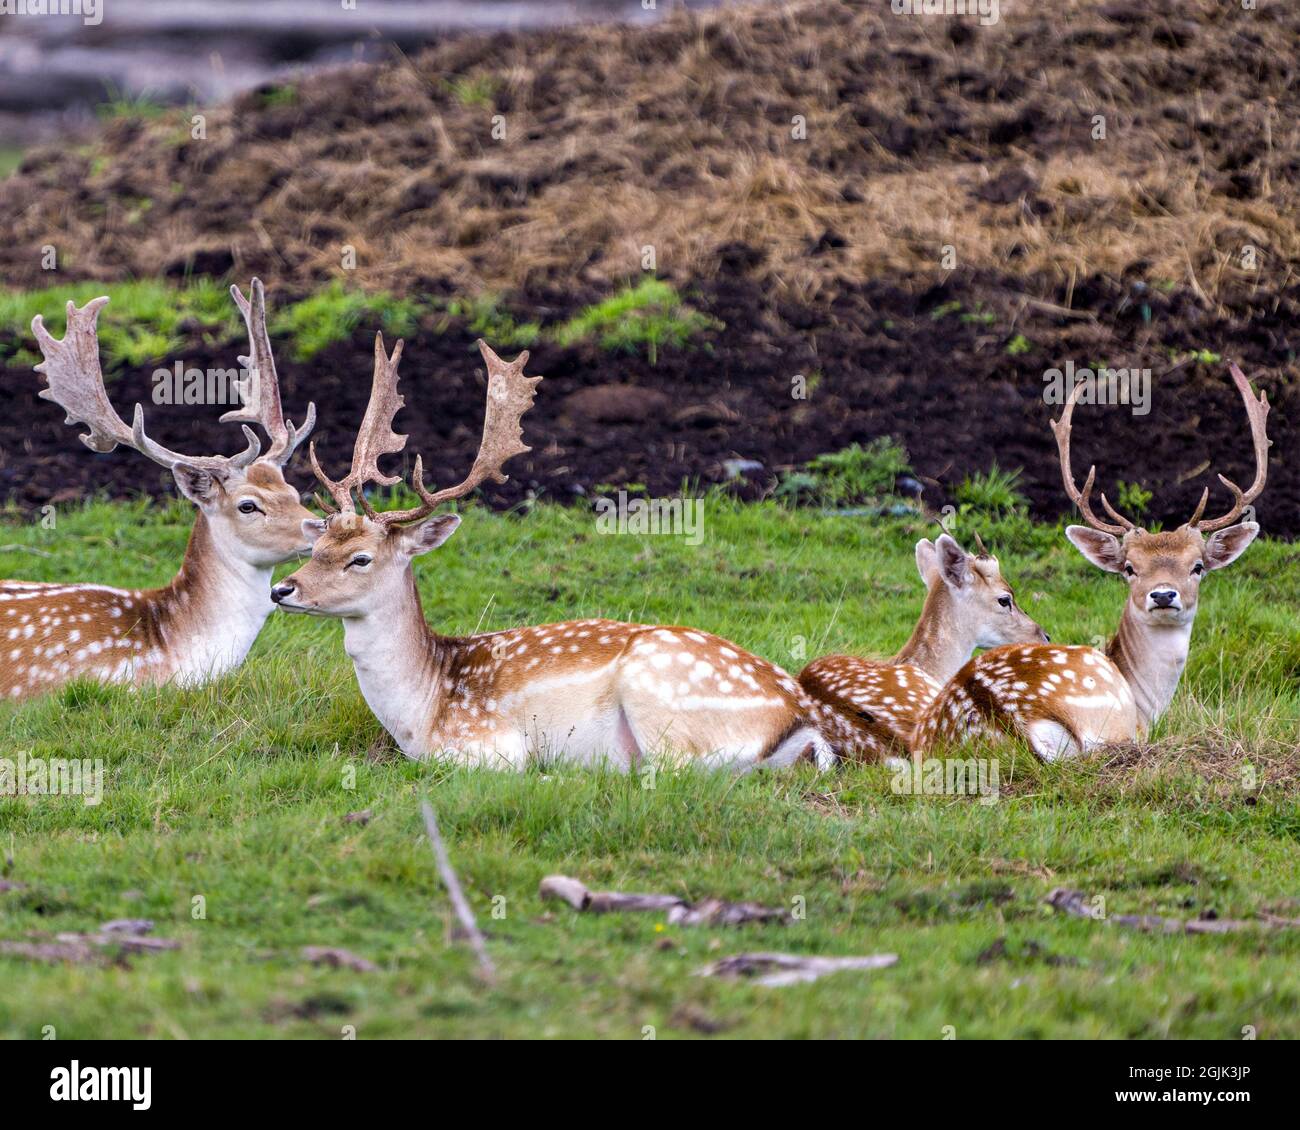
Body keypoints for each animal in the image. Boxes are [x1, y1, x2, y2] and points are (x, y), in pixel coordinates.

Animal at [273, 340, 832, 769]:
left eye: (361, 558)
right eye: (317, 545)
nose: (282, 588)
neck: (421, 713)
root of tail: (799, 717)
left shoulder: (490, 746)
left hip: (660, 700)